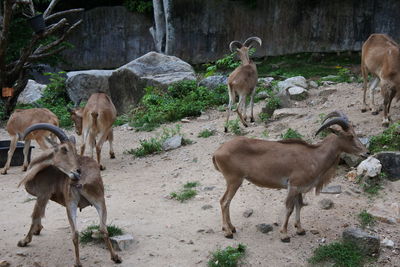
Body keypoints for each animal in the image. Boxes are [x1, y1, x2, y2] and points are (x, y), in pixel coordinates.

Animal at [16, 123, 122, 266]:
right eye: (64, 149)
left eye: (73, 150)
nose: (77, 172)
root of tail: (82, 181)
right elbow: (40, 214)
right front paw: (38, 230)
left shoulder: (43, 194)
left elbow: (35, 215)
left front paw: (24, 241)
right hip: (99, 201)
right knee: (101, 229)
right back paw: (115, 257)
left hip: (70, 204)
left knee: (75, 232)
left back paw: (77, 263)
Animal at [214, 111, 368, 243]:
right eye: (350, 136)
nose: (366, 153)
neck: (314, 156)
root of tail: (217, 152)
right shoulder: (293, 186)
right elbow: (289, 208)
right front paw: (284, 235)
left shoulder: (300, 188)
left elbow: (299, 205)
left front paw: (300, 229)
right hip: (234, 180)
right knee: (224, 201)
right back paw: (227, 232)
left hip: (234, 181)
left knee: (227, 202)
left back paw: (232, 228)